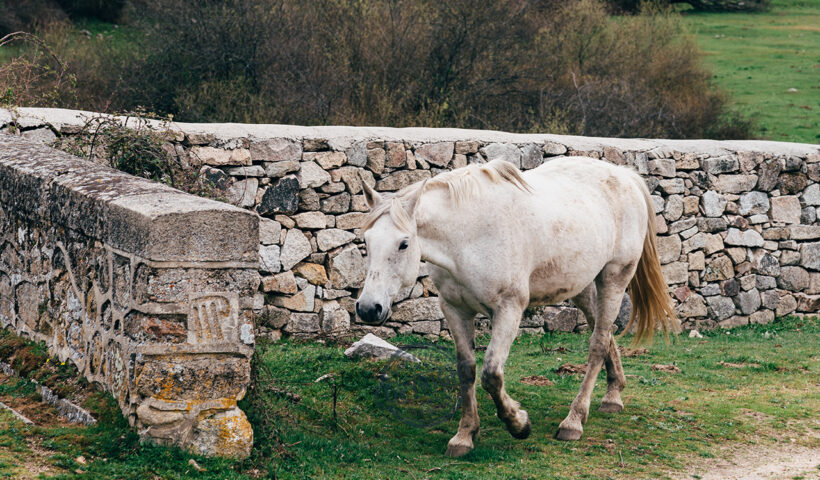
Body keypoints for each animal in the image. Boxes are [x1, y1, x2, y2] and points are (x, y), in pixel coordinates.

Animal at [356, 158, 676, 458]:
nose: (368, 308)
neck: (468, 235)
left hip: (614, 278)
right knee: (606, 332)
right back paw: (613, 395)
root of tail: (626, 175)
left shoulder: (508, 309)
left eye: (403, 244)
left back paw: (573, 421)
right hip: (583, 286)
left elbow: (491, 374)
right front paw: (465, 435)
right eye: (367, 241)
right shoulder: (455, 310)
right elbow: (466, 370)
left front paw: (518, 423)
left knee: (598, 343)